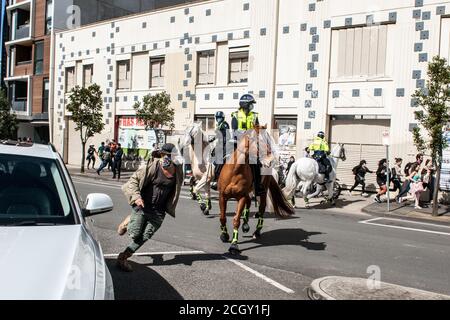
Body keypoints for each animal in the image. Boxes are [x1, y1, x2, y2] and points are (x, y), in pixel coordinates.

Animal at [218, 125, 296, 255]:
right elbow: (223, 217)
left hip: (262, 191)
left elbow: (236, 220)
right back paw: (246, 225)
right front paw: (224, 235)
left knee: (261, 208)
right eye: (259, 141)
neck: (235, 170)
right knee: (249, 203)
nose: (270, 160)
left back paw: (257, 231)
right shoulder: (222, 196)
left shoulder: (241, 197)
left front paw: (234, 245)